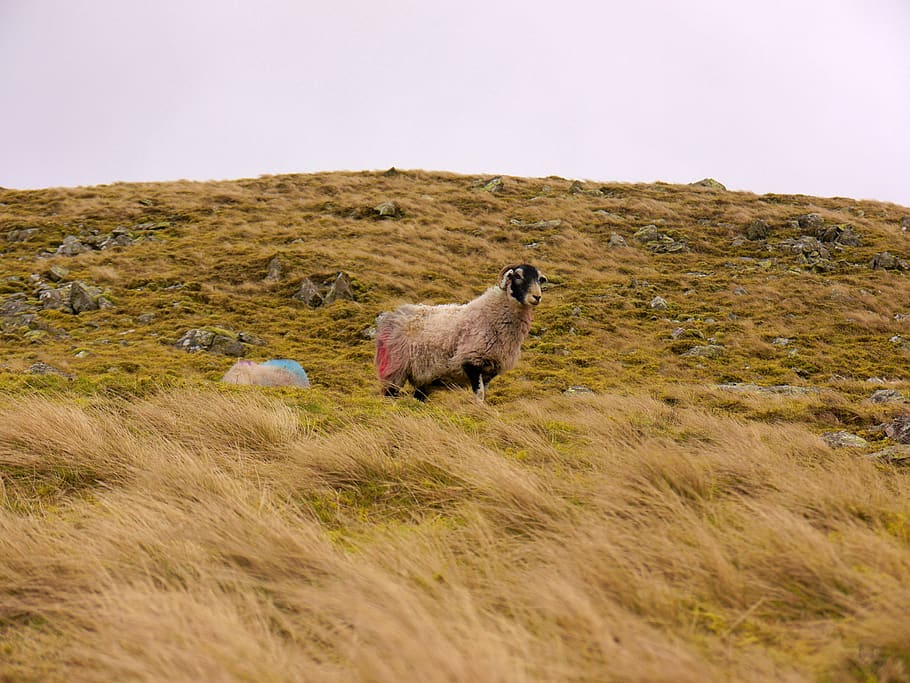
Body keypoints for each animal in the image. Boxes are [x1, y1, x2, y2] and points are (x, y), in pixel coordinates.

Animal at [374, 264, 547, 402]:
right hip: (395, 368)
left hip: (424, 376)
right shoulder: (471, 360)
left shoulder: (490, 369)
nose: (537, 297)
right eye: (518, 276)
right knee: (390, 395)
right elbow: (479, 394)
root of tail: (393, 316)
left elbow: (484, 393)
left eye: (539, 279)